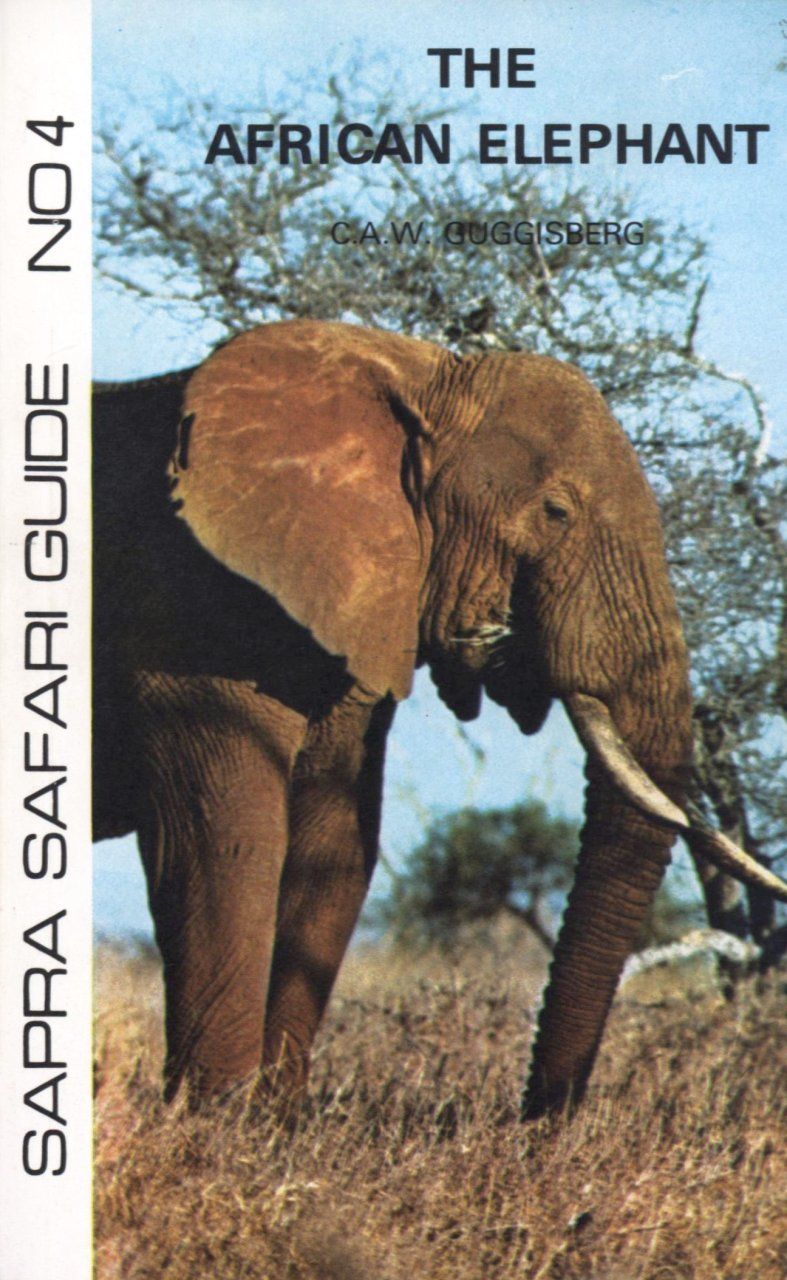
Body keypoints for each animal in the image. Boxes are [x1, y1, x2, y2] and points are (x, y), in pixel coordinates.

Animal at [93, 319, 787, 1121]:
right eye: (555, 512)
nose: (531, 1124)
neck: (412, 375)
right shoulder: (187, 613)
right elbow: (226, 839)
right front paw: (214, 1126)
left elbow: (335, 843)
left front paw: (274, 1123)